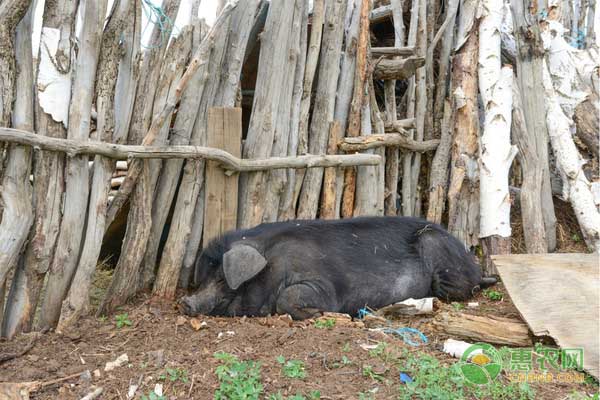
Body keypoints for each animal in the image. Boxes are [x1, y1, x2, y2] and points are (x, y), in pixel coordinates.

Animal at [179, 217, 492, 320]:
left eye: (223, 279)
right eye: (204, 277)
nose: (186, 302)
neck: (271, 268)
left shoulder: (320, 285)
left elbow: (288, 298)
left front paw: (320, 314)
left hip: (437, 249)